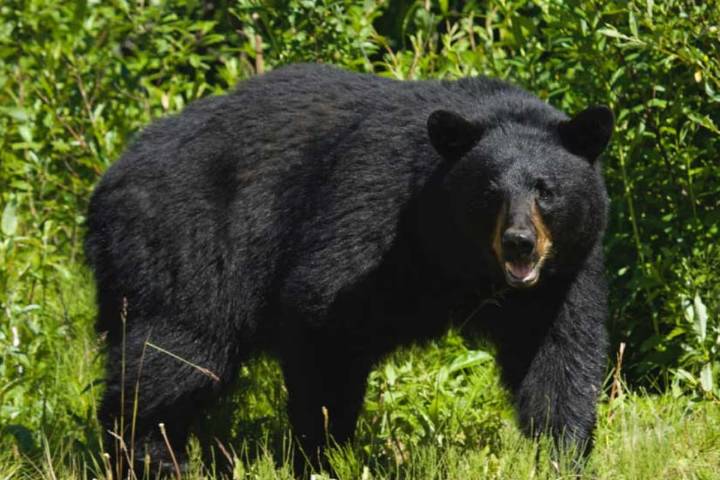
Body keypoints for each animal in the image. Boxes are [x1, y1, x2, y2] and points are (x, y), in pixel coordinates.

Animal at [85, 63, 613, 475]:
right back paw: (150, 457)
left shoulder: (560, 278)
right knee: (174, 356)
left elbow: (558, 358)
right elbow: (323, 318)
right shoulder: (372, 214)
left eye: (546, 190)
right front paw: (321, 451)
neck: (454, 256)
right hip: (183, 245)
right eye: (489, 193)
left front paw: (564, 454)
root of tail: (111, 175)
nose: (518, 242)